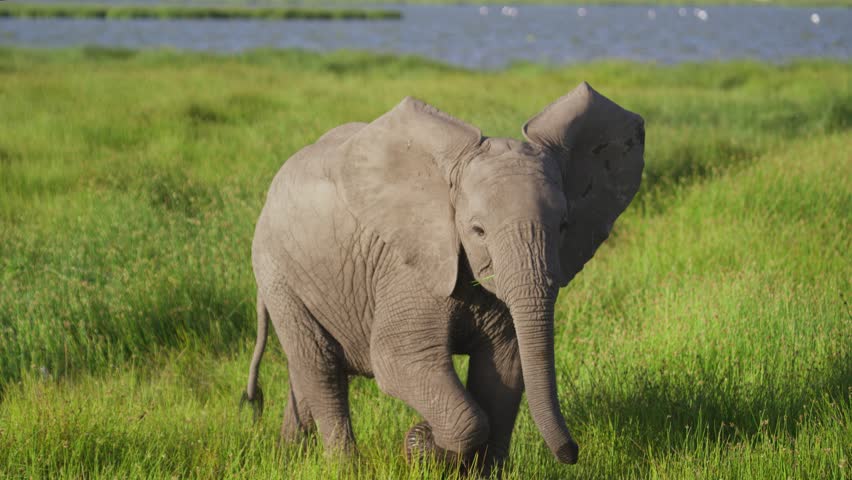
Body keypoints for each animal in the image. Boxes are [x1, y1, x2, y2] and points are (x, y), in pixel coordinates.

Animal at [241, 82, 644, 472]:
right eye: (477, 230)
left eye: (563, 226)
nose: (571, 452)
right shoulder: (410, 270)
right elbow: (400, 361)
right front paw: (424, 445)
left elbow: (504, 370)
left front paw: (481, 468)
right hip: (278, 273)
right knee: (319, 366)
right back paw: (343, 466)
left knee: (304, 370)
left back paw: (287, 454)